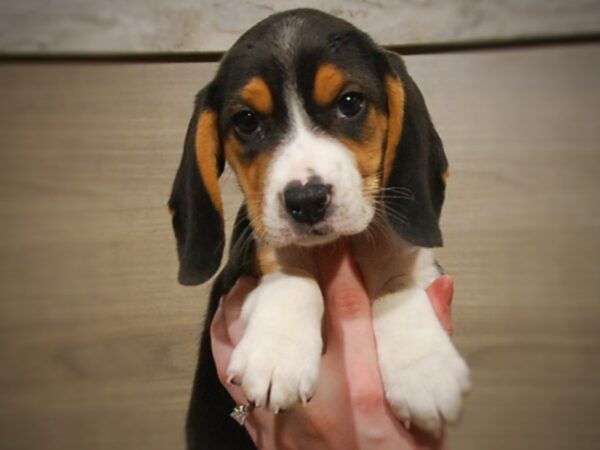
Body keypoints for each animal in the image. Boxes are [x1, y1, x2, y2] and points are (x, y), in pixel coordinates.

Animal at [168, 7, 468, 450]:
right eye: (246, 121)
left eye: (350, 103)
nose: (307, 200)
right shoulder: (247, 259)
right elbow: (293, 273)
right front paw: (279, 353)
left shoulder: (417, 262)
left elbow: (397, 286)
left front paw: (426, 373)